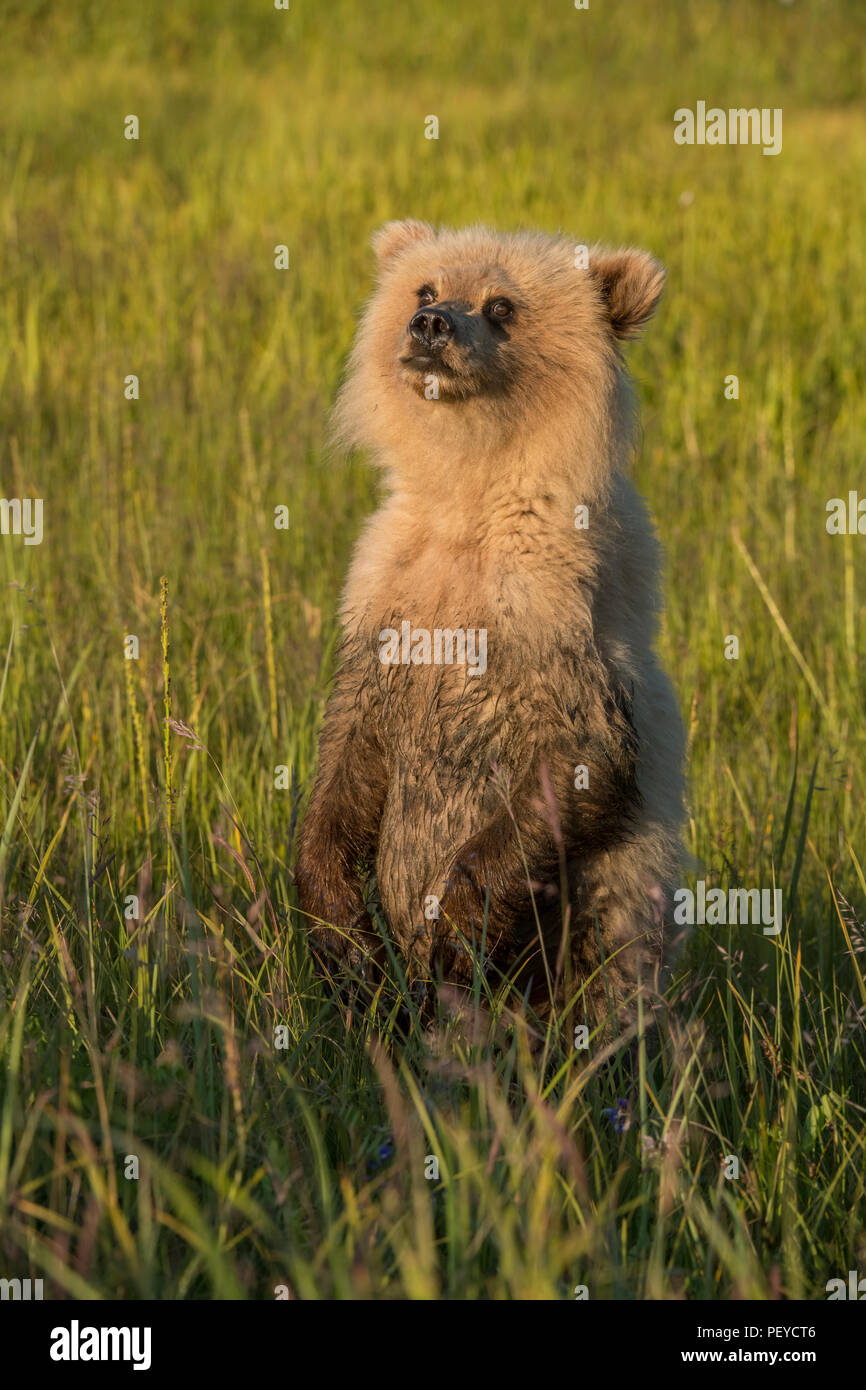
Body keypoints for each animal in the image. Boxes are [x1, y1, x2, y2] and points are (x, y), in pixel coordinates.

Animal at [294, 214, 686, 1023]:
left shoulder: (555, 612)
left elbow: (579, 757)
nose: (431, 325)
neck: (468, 503)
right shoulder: (384, 594)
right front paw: (343, 936)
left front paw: (453, 934)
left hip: (612, 898)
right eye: (426, 286)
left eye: (501, 304)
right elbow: (349, 754)